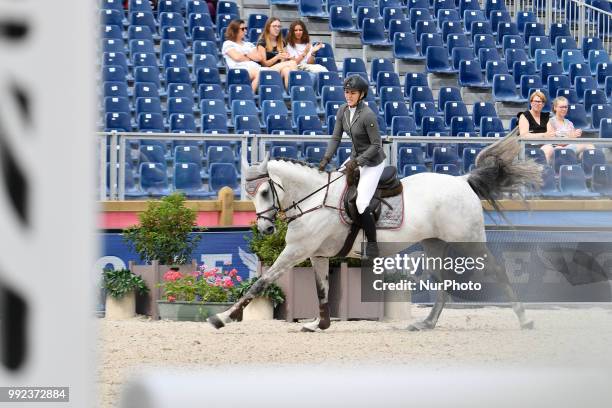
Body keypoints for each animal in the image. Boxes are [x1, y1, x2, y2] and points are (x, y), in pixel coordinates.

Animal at [209, 131, 540, 332]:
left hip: (469, 242)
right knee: (443, 283)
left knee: (497, 272)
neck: (314, 198)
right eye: (250, 194)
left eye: (265, 192)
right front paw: (320, 324)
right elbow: (321, 289)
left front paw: (223, 317)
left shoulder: (296, 251)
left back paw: (525, 319)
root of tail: (462, 181)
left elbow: (259, 283)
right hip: (434, 243)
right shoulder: (316, 255)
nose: (265, 228)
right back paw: (426, 323)